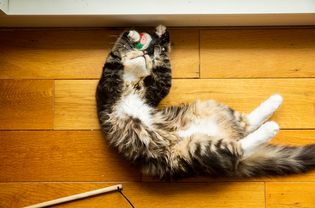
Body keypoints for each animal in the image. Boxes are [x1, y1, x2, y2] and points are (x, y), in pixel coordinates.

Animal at [95, 25, 315, 180]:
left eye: (147, 56)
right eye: (142, 54)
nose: (144, 53)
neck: (132, 83)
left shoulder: (154, 90)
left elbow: (162, 67)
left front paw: (159, 37)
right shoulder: (107, 88)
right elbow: (114, 57)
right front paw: (130, 37)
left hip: (208, 116)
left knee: (245, 128)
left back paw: (274, 104)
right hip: (197, 151)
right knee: (239, 146)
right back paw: (270, 126)